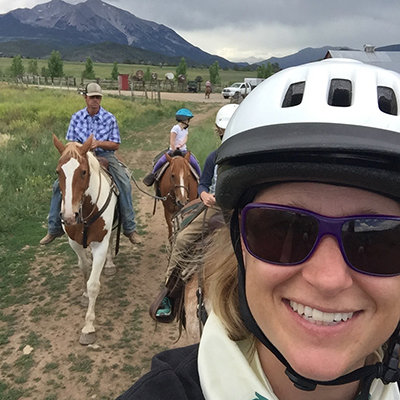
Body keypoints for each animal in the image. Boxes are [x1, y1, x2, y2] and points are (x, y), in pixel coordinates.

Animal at [52, 134, 117, 344]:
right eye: (58, 172)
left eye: (83, 172)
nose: (68, 216)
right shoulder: (74, 243)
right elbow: (84, 266)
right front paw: (84, 294)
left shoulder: (100, 244)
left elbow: (94, 283)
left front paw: (88, 327)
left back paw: (110, 265)